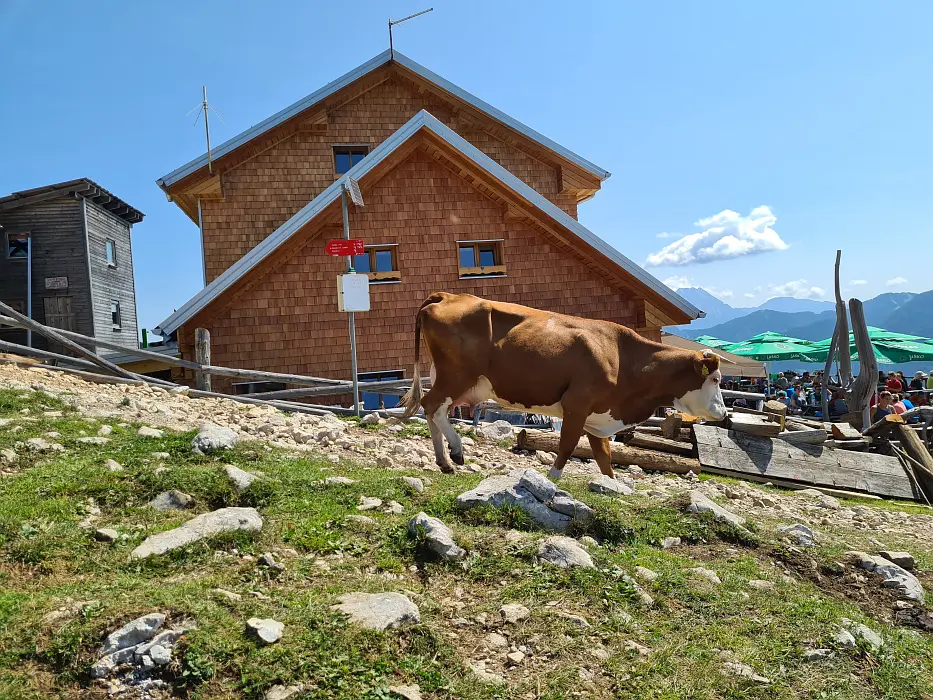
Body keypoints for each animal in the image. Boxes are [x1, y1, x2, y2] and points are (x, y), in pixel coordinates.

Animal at [396, 292, 724, 478]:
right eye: (716, 378)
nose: (722, 413)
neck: (622, 356)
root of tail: (447, 295)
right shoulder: (576, 404)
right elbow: (567, 446)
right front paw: (552, 478)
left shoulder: (597, 416)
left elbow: (605, 460)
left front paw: (610, 485)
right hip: (457, 375)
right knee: (432, 405)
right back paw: (455, 452)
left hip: (449, 377)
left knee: (433, 409)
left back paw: (444, 461)